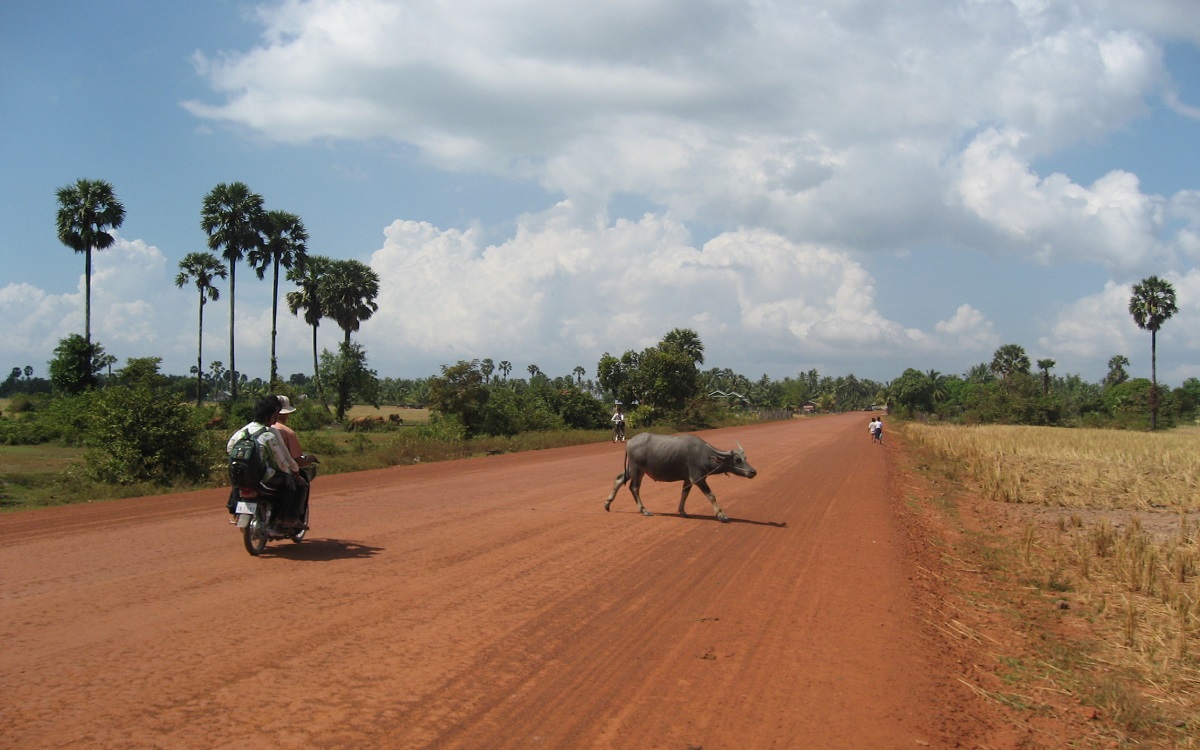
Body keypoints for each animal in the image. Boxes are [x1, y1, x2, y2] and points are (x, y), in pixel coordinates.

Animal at [604, 429, 753, 523]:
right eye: (737, 459)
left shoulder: (688, 479)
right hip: (638, 469)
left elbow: (684, 494)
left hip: (632, 469)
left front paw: (682, 512)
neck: (705, 455)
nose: (753, 472)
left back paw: (607, 504)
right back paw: (644, 510)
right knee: (634, 487)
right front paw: (722, 515)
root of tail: (629, 442)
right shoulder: (697, 478)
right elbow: (711, 495)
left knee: (619, 479)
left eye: (745, 457)